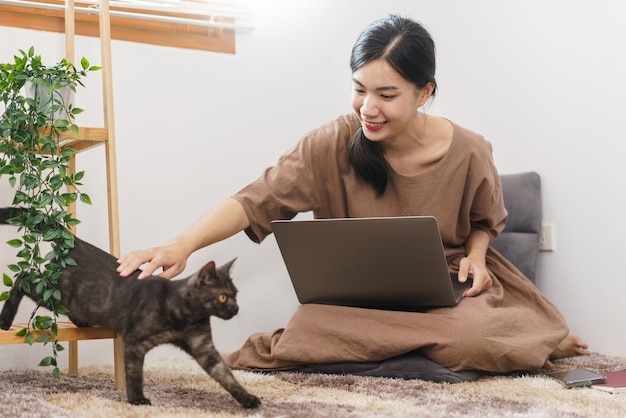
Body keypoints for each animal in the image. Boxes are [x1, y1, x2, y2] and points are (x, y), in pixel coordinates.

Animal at [0, 207, 260, 410]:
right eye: (223, 297)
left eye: (236, 295)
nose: (235, 308)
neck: (185, 315)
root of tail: (74, 241)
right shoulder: (135, 342)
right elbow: (135, 374)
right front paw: (137, 399)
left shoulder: (203, 347)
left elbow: (225, 375)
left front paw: (247, 398)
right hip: (58, 295)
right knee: (23, 276)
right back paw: (6, 319)